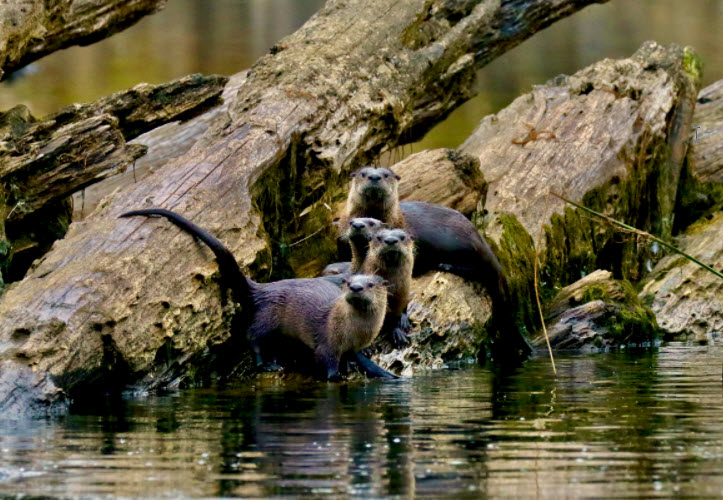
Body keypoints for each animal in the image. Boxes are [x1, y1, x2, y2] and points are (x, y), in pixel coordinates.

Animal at [121, 210, 398, 378]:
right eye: (349, 282)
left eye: (370, 284)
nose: (356, 288)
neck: (353, 332)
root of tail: (263, 288)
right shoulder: (327, 343)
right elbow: (327, 364)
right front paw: (336, 376)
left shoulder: (355, 346)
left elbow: (358, 359)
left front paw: (378, 372)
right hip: (266, 318)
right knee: (252, 339)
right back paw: (267, 364)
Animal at [340, 167, 532, 360]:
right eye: (363, 173)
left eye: (385, 175)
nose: (374, 176)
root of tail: (478, 235)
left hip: (458, 243)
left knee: (480, 269)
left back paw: (445, 265)